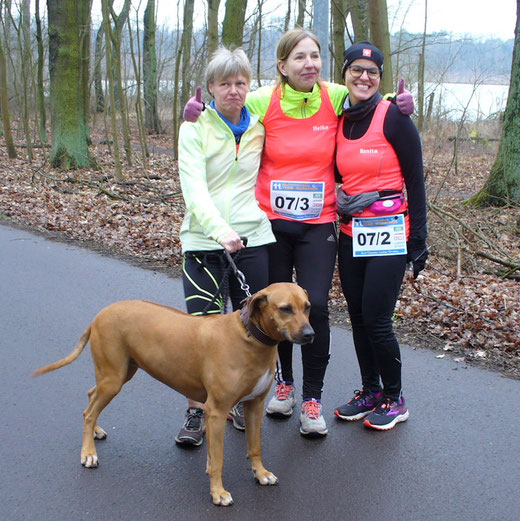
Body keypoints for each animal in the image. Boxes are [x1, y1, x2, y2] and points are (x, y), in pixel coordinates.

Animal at [34, 282, 314, 506]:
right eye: (285, 308)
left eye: (307, 307)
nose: (310, 334)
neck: (251, 337)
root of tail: (99, 315)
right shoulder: (216, 411)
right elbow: (218, 459)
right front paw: (218, 492)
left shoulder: (254, 405)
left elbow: (254, 447)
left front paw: (261, 473)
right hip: (113, 378)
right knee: (89, 411)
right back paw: (88, 453)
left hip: (118, 374)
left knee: (91, 396)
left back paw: (96, 432)